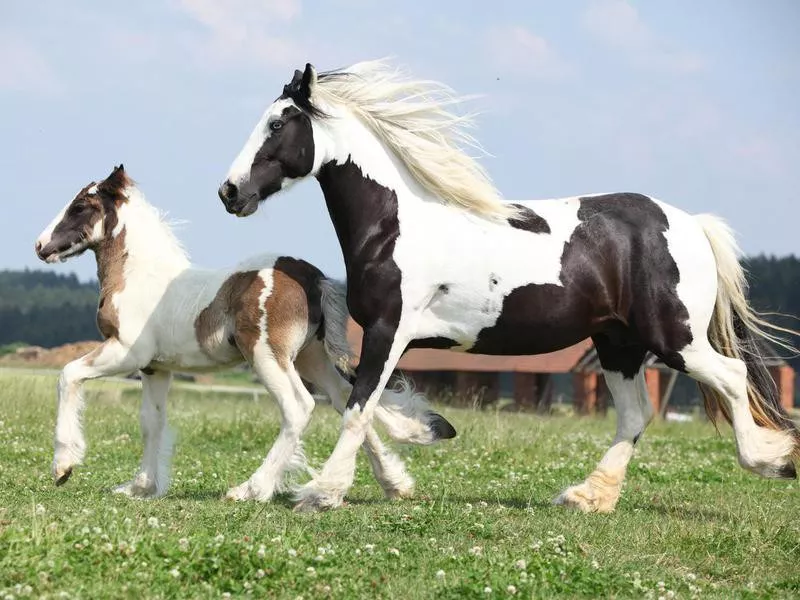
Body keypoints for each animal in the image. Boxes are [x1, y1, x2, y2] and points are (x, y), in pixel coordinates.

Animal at [34, 165, 456, 502]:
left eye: (80, 206)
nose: (40, 246)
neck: (141, 276)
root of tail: (312, 277)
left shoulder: (125, 353)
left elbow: (68, 375)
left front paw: (64, 466)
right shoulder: (156, 368)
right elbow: (151, 422)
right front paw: (140, 487)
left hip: (267, 355)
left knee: (299, 407)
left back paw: (251, 489)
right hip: (311, 357)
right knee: (348, 400)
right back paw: (393, 485)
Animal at [217, 59, 800, 510]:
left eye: (277, 124)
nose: (229, 192)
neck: (394, 225)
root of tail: (691, 224)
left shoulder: (388, 331)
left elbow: (358, 408)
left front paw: (322, 493)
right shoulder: (384, 338)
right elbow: (358, 403)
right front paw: (422, 435)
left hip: (674, 337)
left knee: (732, 378)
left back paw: (772, 459)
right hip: (618, 343)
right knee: (636, 414)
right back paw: (588, 497)